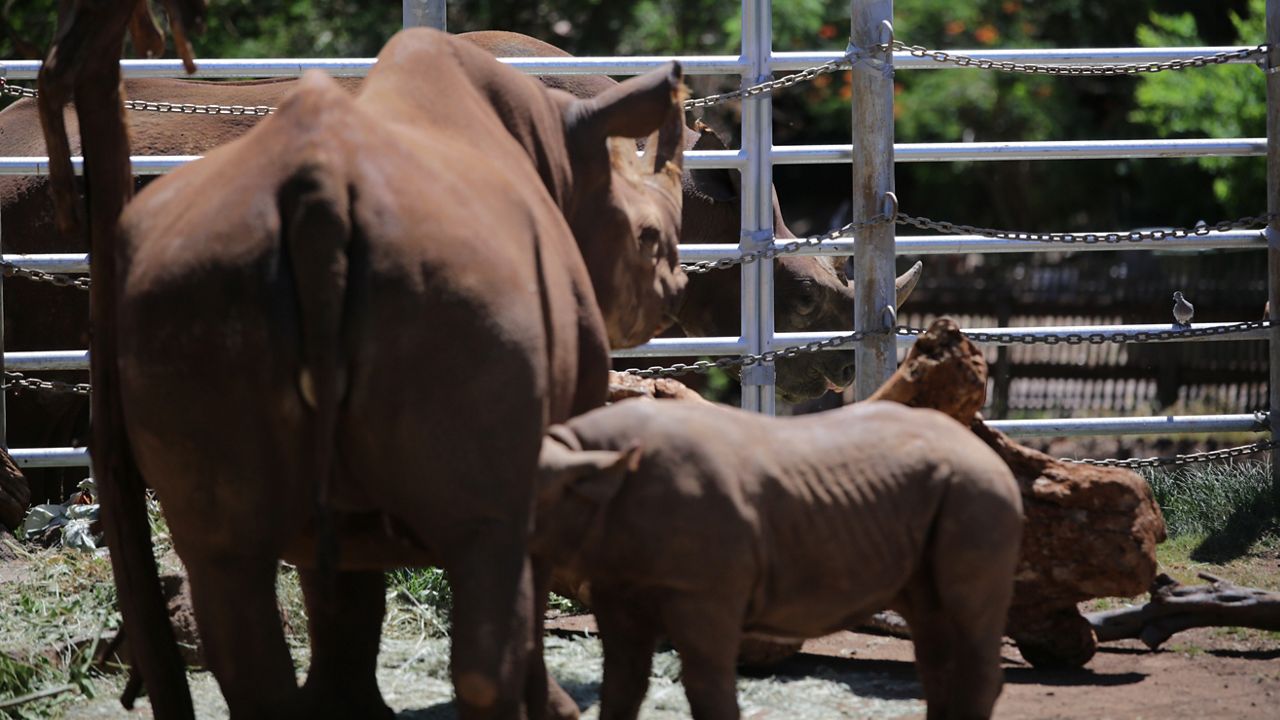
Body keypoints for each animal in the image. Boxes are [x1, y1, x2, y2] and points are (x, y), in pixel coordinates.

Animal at [68, 29, 691, 717]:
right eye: (649, 237)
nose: (676, 293)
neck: (561, 146)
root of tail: (319, 194)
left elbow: (341, 590)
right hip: (462, 289)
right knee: (487, 541)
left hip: (191, 285)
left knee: (224, 560)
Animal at [535, 397, 1024, 717]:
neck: (584, 460)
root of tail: (986, 449)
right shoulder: (615, 580)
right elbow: (622, 679)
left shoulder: (703, 592)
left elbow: (706, 683)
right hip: (951, 492)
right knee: (930, 623)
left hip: (977, 489)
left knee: (967, 612)